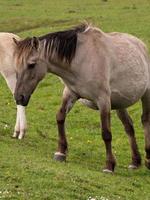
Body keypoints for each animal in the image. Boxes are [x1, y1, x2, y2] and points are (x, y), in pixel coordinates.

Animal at [12, 23, 150, 172]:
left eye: (31, 65)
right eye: (16, 65)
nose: (19, 97)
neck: (82, 59)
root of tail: (140, 44)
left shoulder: (103, 100)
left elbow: (106, 133)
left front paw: (109, 165)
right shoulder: (70, 93)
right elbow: (60, 117)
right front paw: (60, 152)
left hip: (146, 94)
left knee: (145, 120)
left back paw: (148, 159)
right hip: (119, 103)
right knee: (128, 126)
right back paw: (135, 161)